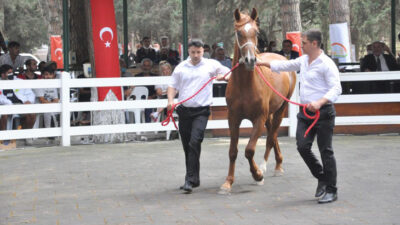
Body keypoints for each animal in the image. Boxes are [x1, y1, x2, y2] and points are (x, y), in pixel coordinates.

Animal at [219, 7, 296, 192]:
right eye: (239, 33)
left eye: (256, 32)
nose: (250, 60)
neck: (245, 85)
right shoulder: (233, 119)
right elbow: (232, 151)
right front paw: (228, 182)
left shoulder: (258, 119)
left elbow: (249, 150)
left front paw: (257, 175)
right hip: (269, 114)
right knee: (272, 135)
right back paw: (277, 164)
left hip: (281, 109)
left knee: (271, 137)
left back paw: (268, 167)